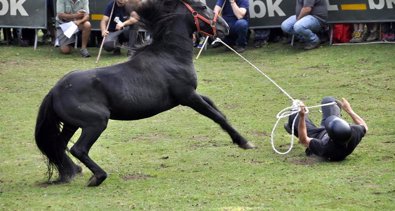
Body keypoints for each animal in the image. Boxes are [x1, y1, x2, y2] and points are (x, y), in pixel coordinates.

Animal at [35, 0, 255, 186]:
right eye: (202, 6)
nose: (225, 28)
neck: (170, 55)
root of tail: (55, 90)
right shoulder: (187, 97)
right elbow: (216, 116)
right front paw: (245, 142)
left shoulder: (190, 95)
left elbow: (215, 107)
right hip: (95, 122)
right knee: (77, 149)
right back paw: (97, 177)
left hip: (72, 124)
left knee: (59, 146)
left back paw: (73, 171)